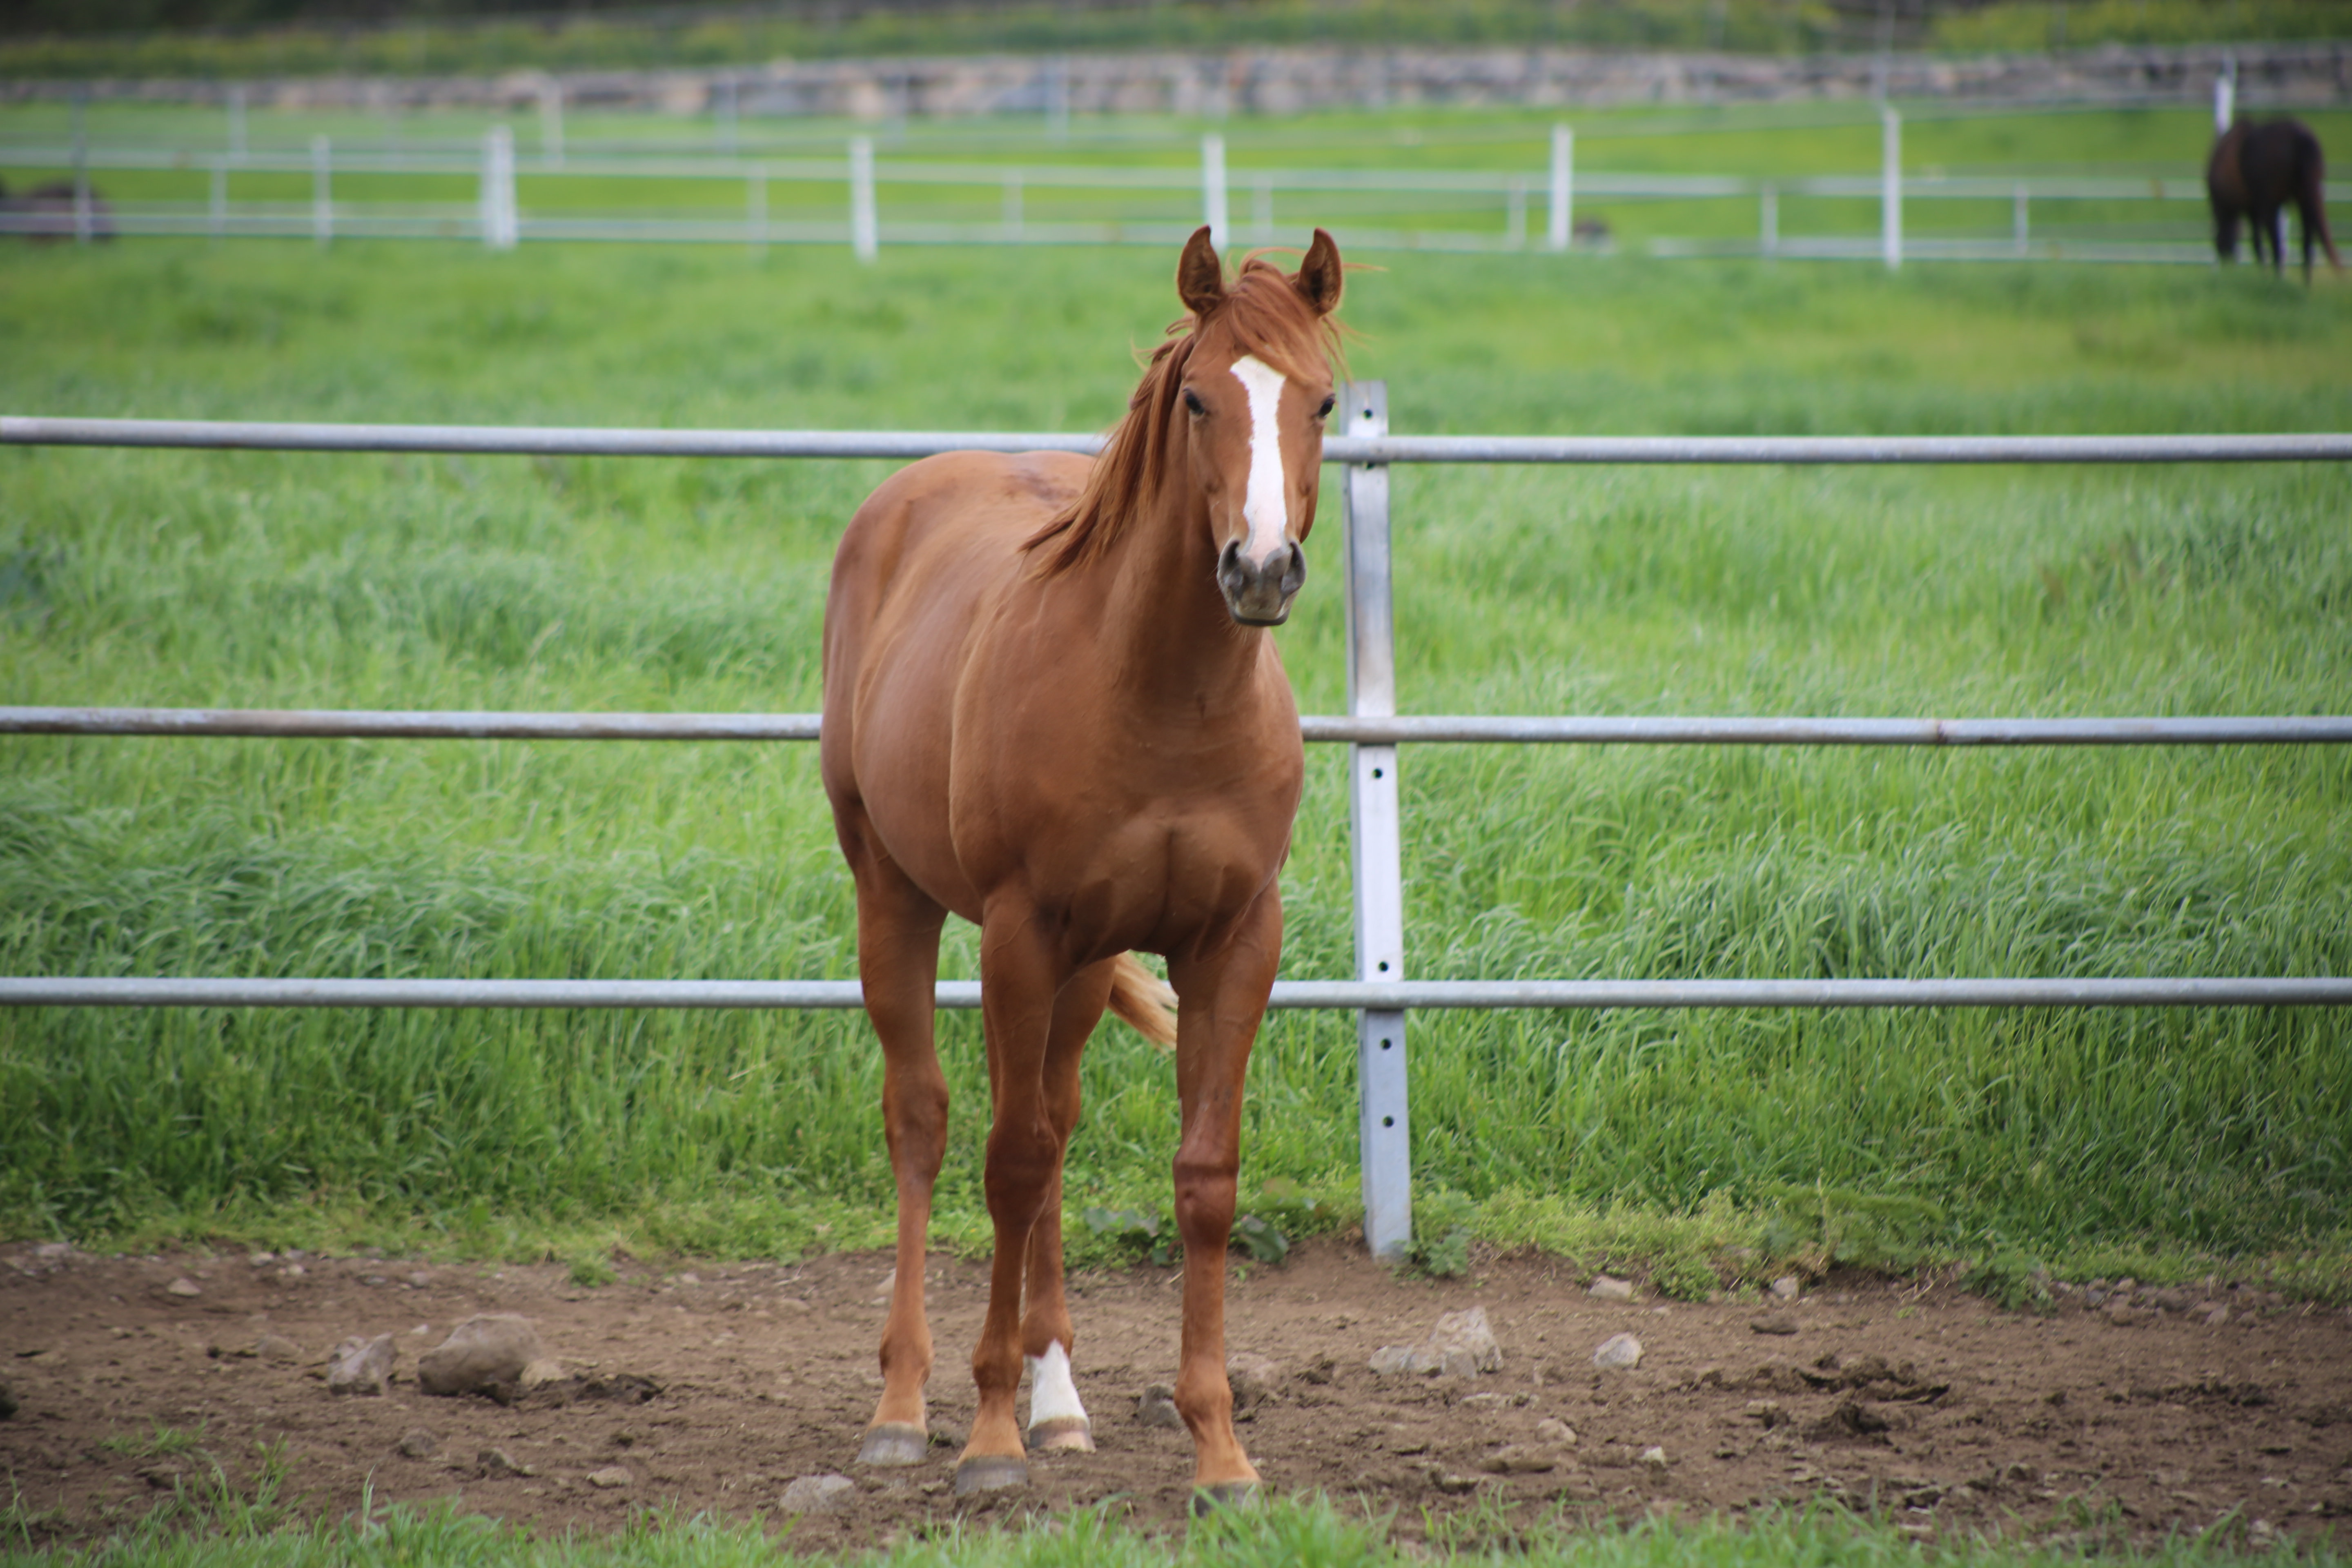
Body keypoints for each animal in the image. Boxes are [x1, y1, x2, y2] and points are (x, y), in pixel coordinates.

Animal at [823, 227, 1345, 1504]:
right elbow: (1006, 1162)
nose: (1261, 569)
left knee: (1054, 1119)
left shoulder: (1232, 942)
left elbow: (1202, 1178)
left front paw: (1218, 1449)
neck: (1164, 695)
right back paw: (903, 1404)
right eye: (1199, 397)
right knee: (926, 1120)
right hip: (895, 897)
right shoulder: (1021, 933)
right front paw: (986, 1437)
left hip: (1083, 965)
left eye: (1321, 400)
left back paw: (1060, 1403)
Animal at [2211, 121, 2342, 287]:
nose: (2226, 273)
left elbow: (2259, 244)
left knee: (2277, 244)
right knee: (2305, 243)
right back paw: (2303, 285)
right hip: (2305, 198)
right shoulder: (2254, 210)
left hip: (2270, 206)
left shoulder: (2253, 209)